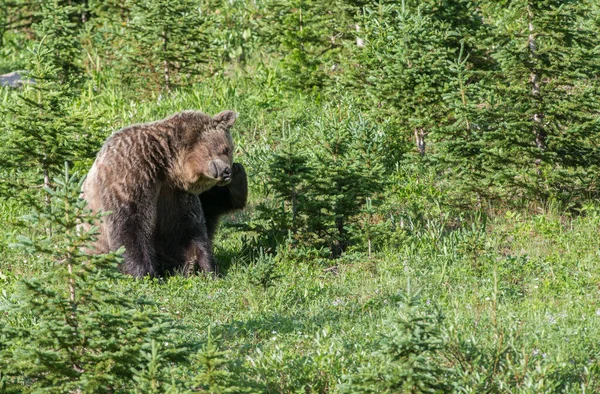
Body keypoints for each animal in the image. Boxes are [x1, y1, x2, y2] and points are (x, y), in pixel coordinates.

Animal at [81, 110, 246, 278]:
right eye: (226, 149)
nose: (227, 172)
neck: (164, 164)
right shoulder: (130, 173)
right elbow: (129, 225)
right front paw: (144, 273)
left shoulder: (173, 193)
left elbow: (185, 229)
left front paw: (204, 267)